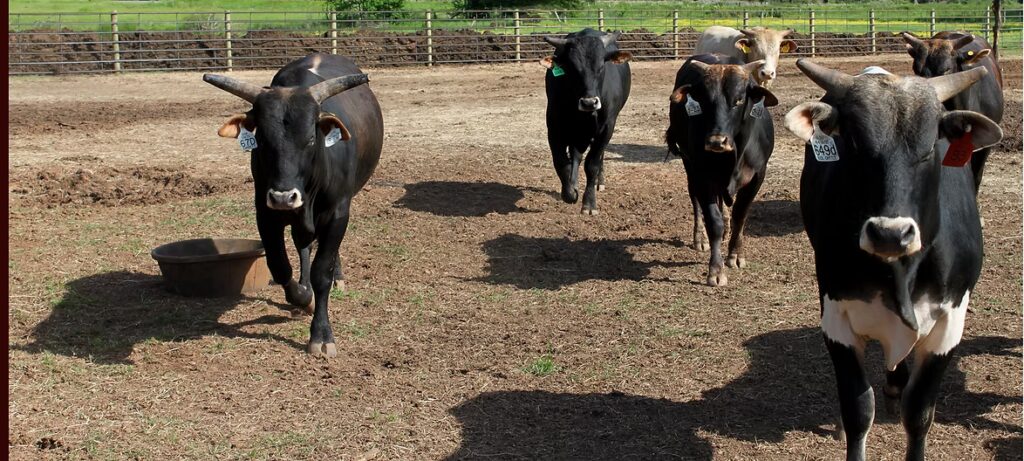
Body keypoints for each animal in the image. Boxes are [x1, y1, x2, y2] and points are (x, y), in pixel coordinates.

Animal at [203, 53, 384, 358]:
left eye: (310, 139)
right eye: (261, 140)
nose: (284, 197)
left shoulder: (337, 213)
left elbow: (322, 271)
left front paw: (321, 333)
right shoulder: (265, 214)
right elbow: (280, 267)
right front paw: (304, 297)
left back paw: (337, 276)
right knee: (303, 246)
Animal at [539, 28, 632, 215]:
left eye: (601, 66)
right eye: (572, 68)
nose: (589, 102)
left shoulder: (606, 129)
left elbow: (592, 164)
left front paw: (589, 203)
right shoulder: (554, 128)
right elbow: (562, 162)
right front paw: (569, 192)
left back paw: (599, 182)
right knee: (576, 156)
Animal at [665, 54, 779, 287]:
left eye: (739, 99)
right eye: (705, 101)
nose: (717, 141)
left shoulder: (757, 177)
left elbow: (740, 216)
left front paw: (735, 255)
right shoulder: (702, 176)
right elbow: (713, 221)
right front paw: (716, 271)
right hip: (689, 167)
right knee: (696, 201)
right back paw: (700, 238)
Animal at [784, 59, 1002, 460]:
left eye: (931, 146)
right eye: (853, 143)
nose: (889, 233)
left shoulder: (950, 324)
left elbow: (918, 413)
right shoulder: (835, 316)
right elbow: (858, 409)